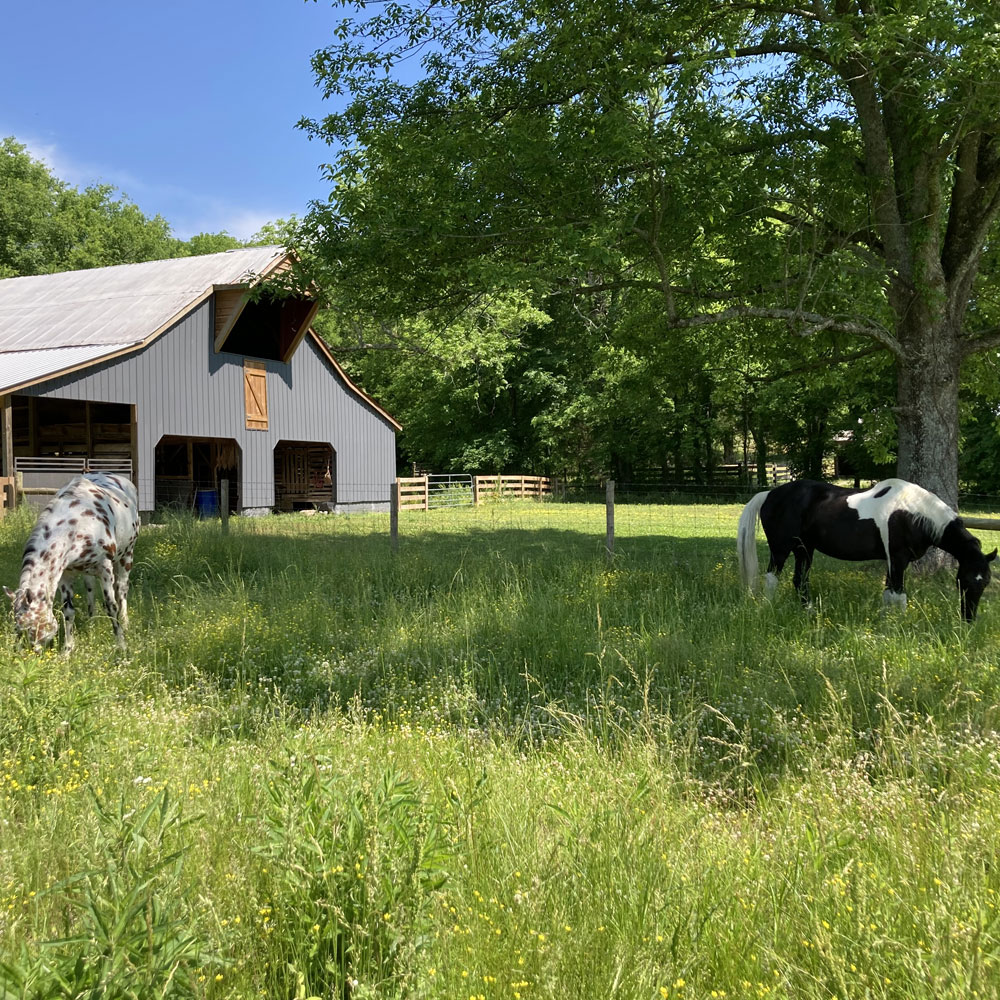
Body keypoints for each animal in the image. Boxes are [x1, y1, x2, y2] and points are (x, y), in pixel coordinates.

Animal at [3, 472, 140, 652]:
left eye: (32, 626)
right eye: (17, 628)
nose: (26, 653)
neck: (73, 527)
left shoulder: (105, 568)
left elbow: (111, 606)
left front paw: (121, 645)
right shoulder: (65, 574)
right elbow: (68, 611)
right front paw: (67, 650)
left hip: (127, 556)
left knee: (122, 590)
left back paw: (125, 622)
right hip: (87, 571)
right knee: (90, 590)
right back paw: (91, 623)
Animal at [740, 478, 996, 624]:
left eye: (985, 582)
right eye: (964, 580)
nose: (969, 620)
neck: (913, 513)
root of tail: (770, 494)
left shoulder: (893, 561)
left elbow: (888, 593)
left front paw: (885, 623)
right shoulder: (898, 559)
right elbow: (899, 595)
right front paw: (901, 626)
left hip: (805, 549)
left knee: (800, 580)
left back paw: (810, 613)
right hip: (781, 549)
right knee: (772, 577)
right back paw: (768, 609)